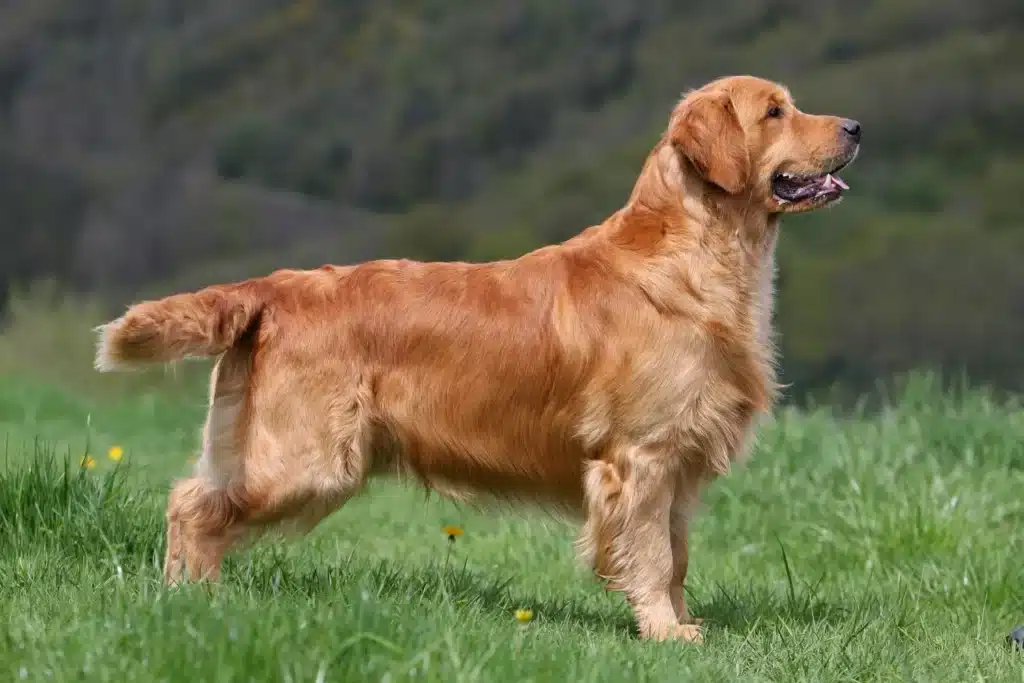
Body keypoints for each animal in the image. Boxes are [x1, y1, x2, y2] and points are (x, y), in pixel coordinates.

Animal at [96, 76, 860, 647]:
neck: (696, 256)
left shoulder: (678, 462)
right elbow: (649, 553)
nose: (856, 126)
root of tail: (274, 286)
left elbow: (675, 555)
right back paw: (190, 603)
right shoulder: (642, 455)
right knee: (191, 506)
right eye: (775, 111)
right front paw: (665, 633)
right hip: (304, 458)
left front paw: (678, 620)